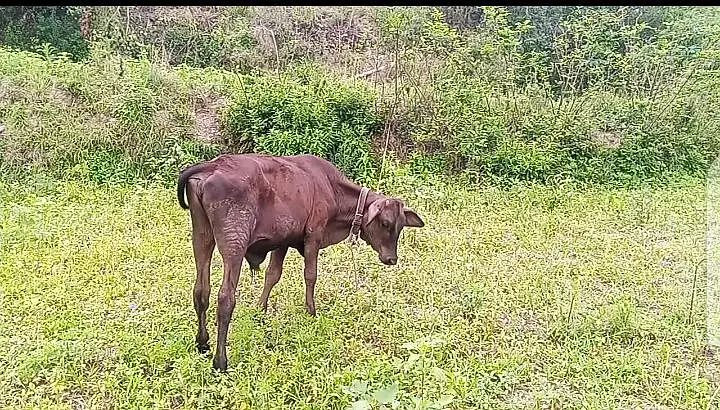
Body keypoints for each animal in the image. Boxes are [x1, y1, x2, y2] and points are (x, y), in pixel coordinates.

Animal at [176, 153, 425, 371]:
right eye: (385, 223)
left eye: (400, 226)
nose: (391, 258)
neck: (332, 187)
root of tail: (213, 165)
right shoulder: (314, 234)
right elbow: (311, 275)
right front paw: (311, 312)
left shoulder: (282, 241)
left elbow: (272, 275)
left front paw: (260, 310)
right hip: (234, 242)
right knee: (225, 297)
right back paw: (220, 361)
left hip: (201, 236)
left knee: (201, 290)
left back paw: (202, 343)